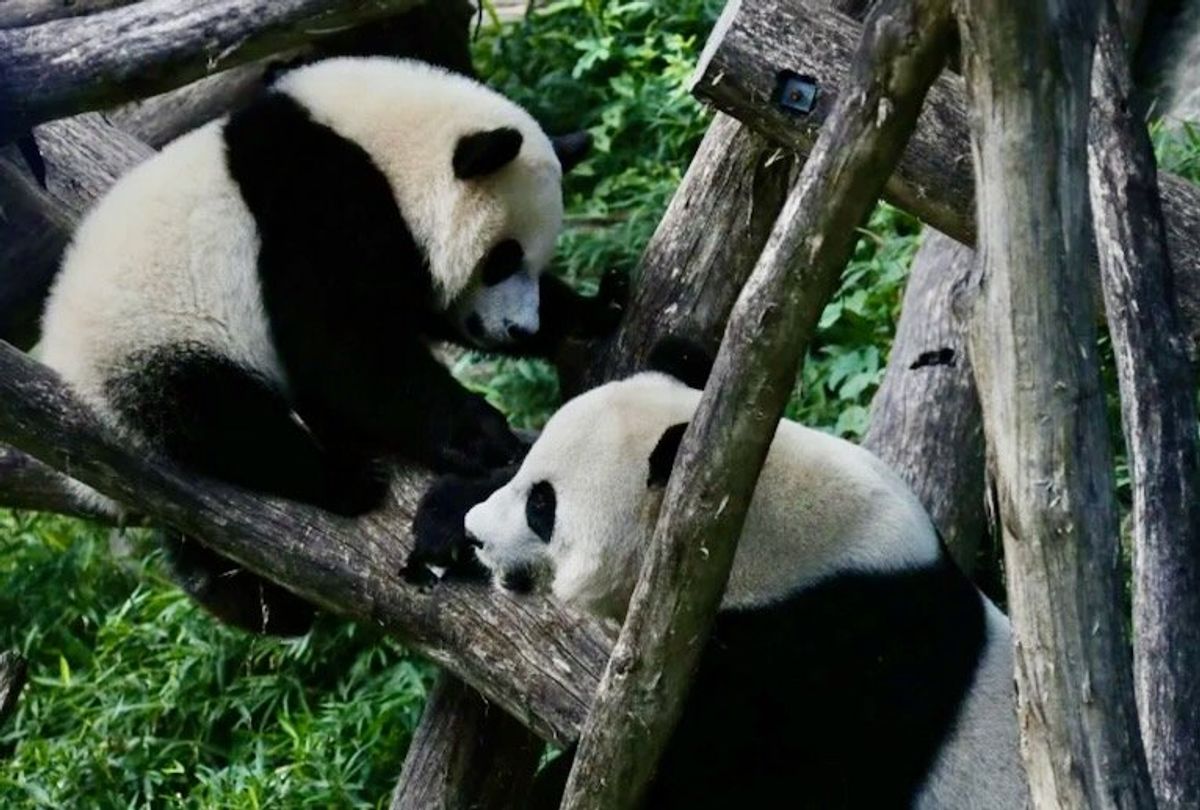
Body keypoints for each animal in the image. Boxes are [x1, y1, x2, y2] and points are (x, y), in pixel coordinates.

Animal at [38, 57, 622, 634]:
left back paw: (254, 599)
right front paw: (483, 435)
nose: (519, 328)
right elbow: (342, 344)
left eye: (535, 262)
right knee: (226, 420)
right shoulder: (315, 204)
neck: (380, 146)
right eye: (502, 258)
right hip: (155, 346)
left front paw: (595, 308)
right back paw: (344, 482)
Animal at [414, 340, 1028, 809]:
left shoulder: (830, 655)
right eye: (527, 472)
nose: (478, 534)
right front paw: (445, 515)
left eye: (543, 506)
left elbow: (733, 773)